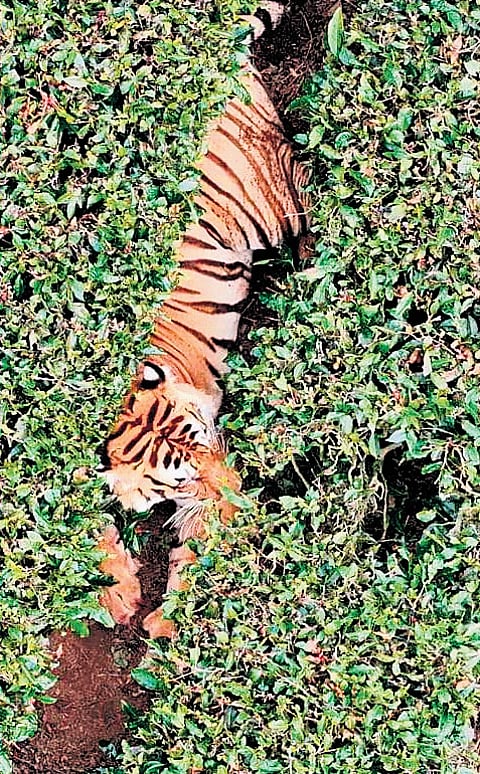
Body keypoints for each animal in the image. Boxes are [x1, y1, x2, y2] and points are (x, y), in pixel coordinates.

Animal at [97, 0, 310, 638]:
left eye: (210, 441)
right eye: (180, 475)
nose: (240, 489)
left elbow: (201, 549)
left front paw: (171, 628)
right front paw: (119, 592)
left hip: (271, 203)